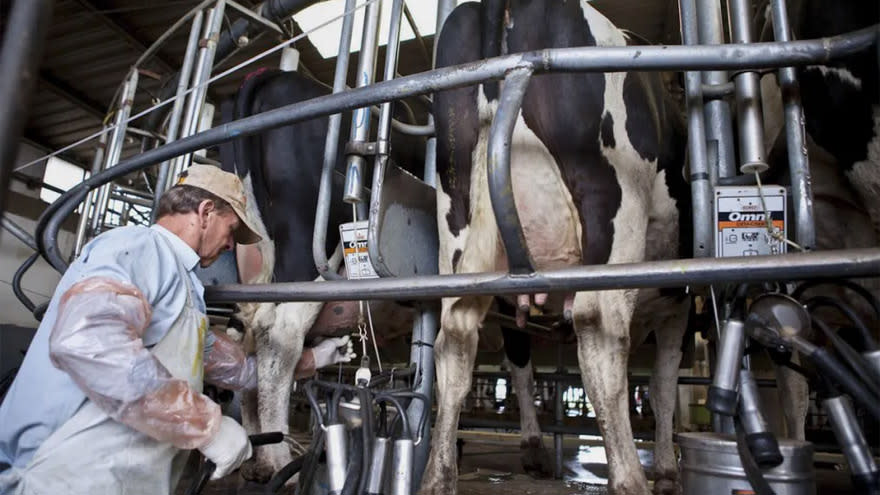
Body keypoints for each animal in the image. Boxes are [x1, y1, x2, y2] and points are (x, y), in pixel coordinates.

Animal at [428, 1, 696, 494]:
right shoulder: (681, 304)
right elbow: (665, 385)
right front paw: (668, 470)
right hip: (611, 201)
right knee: (600, 334)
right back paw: (629, 477)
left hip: (457, 213)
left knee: (456, 336)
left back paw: (439, 477)